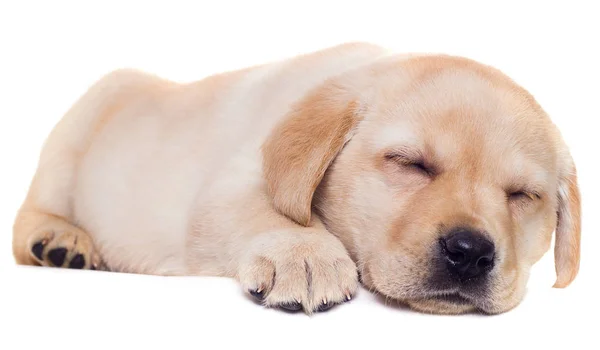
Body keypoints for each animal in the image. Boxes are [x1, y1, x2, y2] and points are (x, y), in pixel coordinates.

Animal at [11, 41, 580, 314]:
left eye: (522, 195)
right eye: (410, 163)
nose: (470, 252)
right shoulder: (232, 183)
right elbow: (261, 210)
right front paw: (305, 256)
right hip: (76, 132)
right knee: (26, 220)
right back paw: (60, 240)